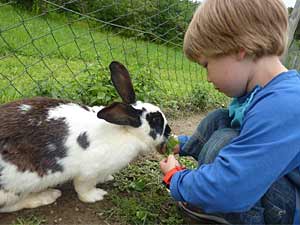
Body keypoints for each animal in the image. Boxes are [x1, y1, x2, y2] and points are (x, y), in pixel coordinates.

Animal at [0, 60, 171, 212]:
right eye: (156, 121)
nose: (169, 130)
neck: (125, 130)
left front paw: (107, 178)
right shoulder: (88, 172)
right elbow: (83, 188)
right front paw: (96, 196)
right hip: (16, 189)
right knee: (10, 206)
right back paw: (48, 196)